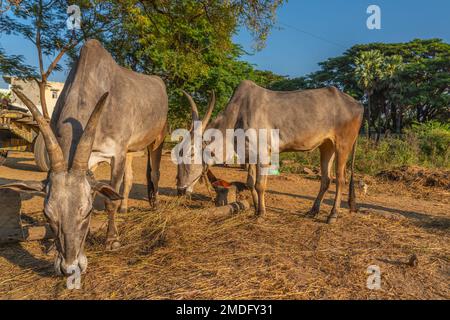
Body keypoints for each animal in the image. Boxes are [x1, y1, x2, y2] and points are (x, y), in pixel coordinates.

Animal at [0, 40, 168, 276]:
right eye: (47, 214)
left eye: (87, 212)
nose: (69, 268)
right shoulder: (95, 161)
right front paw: (52, 247)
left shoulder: (116, 153)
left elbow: (109, 200)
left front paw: (112, 240)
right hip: (130, 150)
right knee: (129, 178)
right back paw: (125, 207)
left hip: (157, 139)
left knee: (154, 172)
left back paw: (155, 204)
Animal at [178, 80, 364, 222]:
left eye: (191, 154)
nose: (180, 189)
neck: (238, 114)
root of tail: (358, 105)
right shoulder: (250, 155)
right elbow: (250, 183)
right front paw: (255, 209)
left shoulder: (262, 153)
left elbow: (260, 185)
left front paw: (261, 214)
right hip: (327, 146)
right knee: (326, 179)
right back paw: (313, 211)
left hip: (343, 145)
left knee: (340, 179)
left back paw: (332, 215)